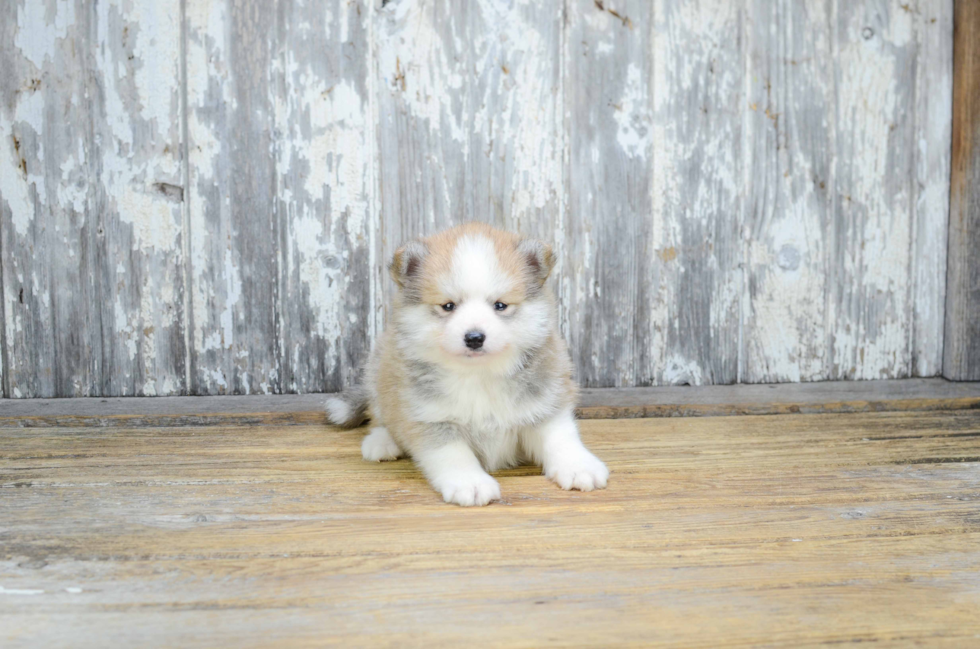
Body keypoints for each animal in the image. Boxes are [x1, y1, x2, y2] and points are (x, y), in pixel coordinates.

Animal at [326, 223, 608, 506]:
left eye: (500, 305)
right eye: (448, 306)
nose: (474, 338)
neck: (478, 375)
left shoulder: (545, 402)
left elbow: (560, 436)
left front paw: (578, 466)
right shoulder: (430, 417)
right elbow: (454, 454)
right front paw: (470, 482)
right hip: (378, 371)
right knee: (379, 415)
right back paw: (382, 441)